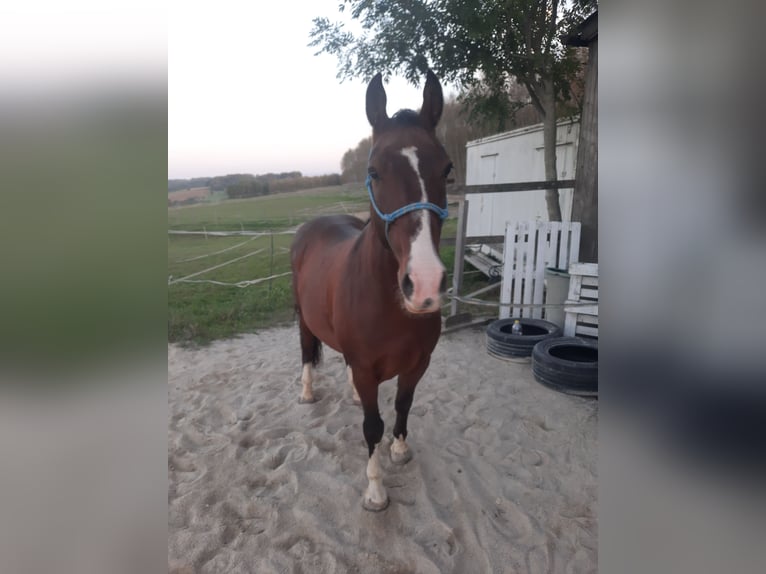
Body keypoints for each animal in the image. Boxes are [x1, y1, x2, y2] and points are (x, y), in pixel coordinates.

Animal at [292, 71, 452, 512]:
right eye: (374, 170)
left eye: (447, 169)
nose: (425, 284)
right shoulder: (367, 370)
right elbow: (371, 425)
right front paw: (376, 491)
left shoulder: (418, 364)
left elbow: (402, 405)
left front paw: (399, 450)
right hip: (303, 319)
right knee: (306, 351)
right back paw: (307, 393)